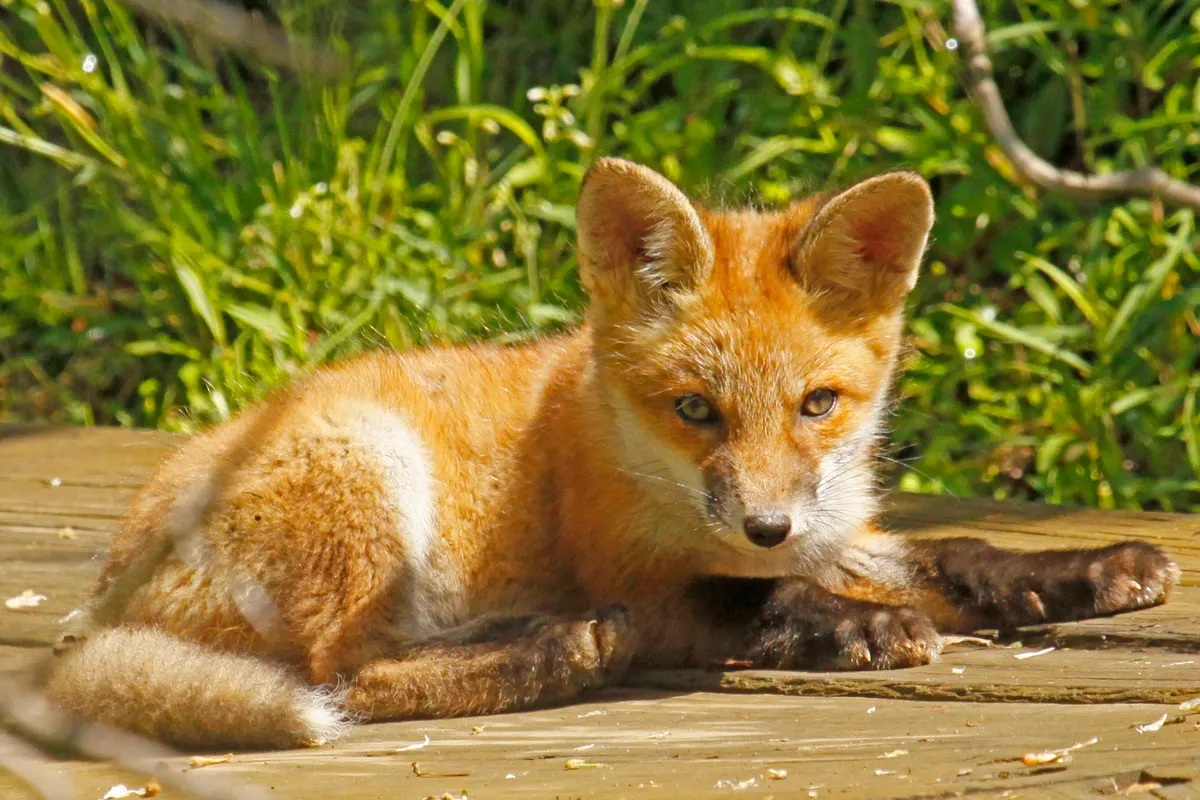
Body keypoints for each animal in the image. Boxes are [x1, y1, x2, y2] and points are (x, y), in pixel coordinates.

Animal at [45, 158, 1178, 750]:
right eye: (696, 409)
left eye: (818, 404)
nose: (766, 522)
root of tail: (104, 593)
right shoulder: (645, 576)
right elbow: (759, 600)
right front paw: (862, 628)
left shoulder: (832, 531)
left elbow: (968, 556)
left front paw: (1094, 570)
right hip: (370, 482)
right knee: (346, 674)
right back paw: (559, 655)